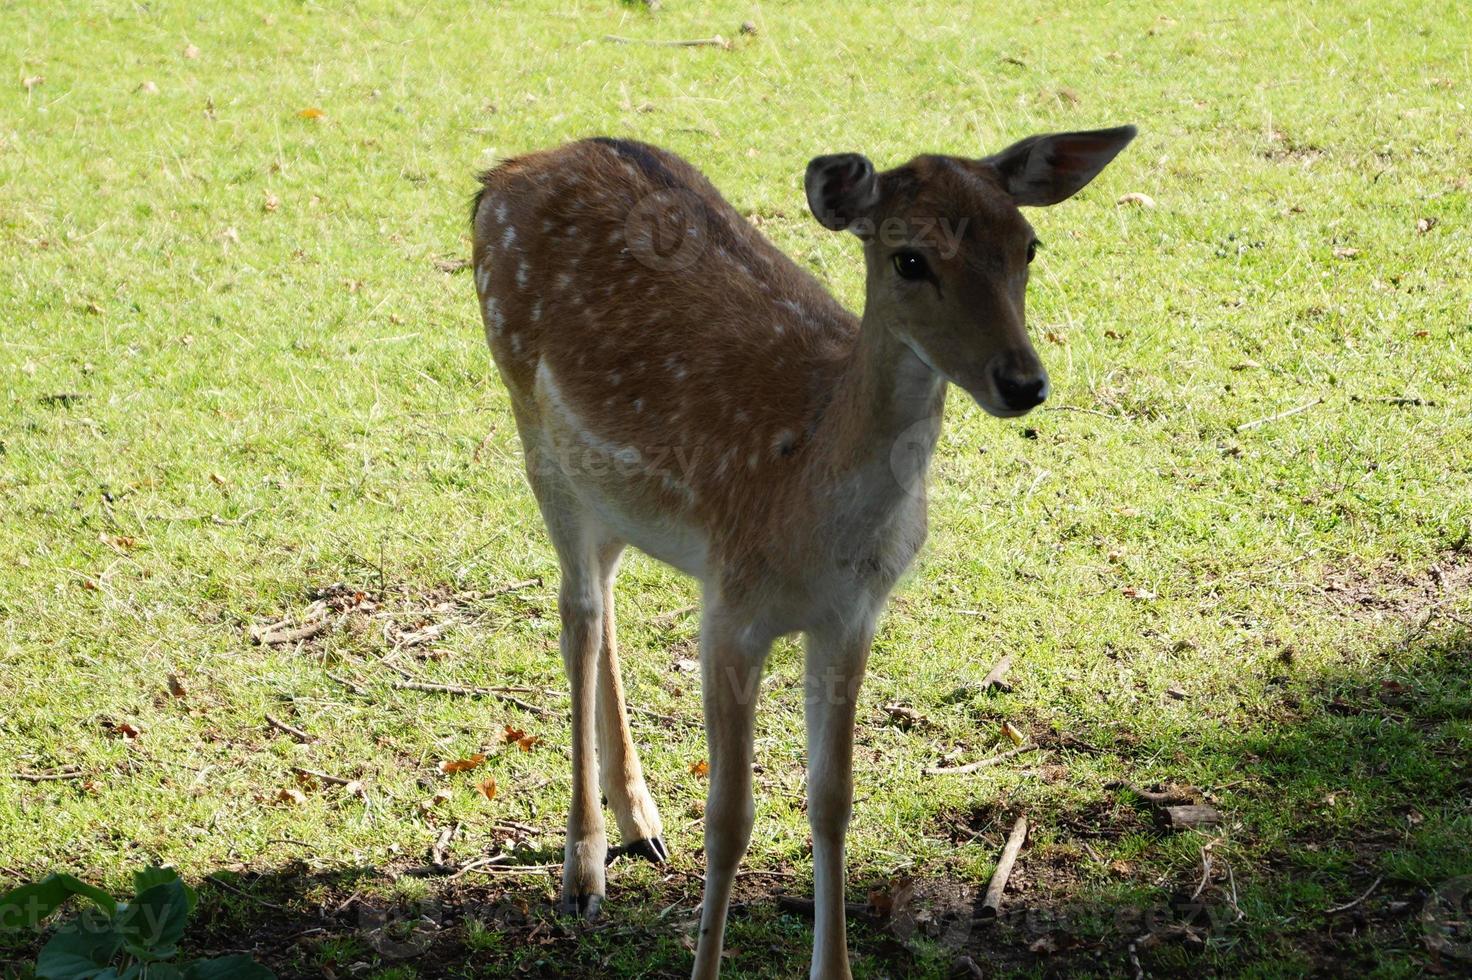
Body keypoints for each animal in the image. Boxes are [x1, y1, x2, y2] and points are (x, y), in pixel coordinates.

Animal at [471, 125, 1136, 971]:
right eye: (910, 258)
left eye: (1028, 245)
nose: (1023, 382)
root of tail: (502, 175)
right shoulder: (731, 611)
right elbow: (730, 821)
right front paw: (704, 963)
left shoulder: (852, 616)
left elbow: (833, 802)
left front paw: (836, 966)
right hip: (531, 421)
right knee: (578, 616)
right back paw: (583, 868)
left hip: (610, 489)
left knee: (605, 594)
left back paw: (641, 821)